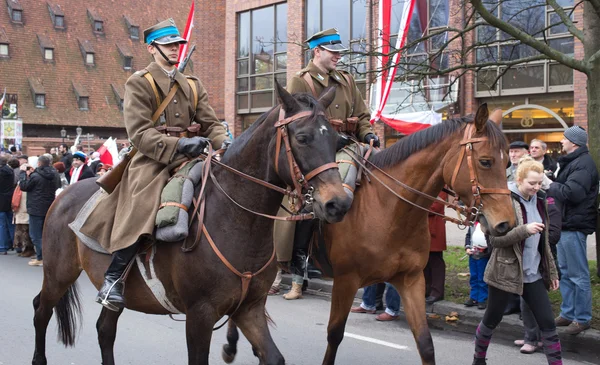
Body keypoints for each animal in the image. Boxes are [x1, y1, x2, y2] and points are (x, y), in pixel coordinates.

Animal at [31, 82, 352, 364]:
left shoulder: (249, 309)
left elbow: (273, 357)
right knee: (41, 310)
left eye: (337, 140)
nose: (339, 203)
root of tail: (63, 194)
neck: (237, 219)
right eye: (303, 138)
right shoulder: (200, 315)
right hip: (58, 274)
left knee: (104, 330)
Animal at [220, 104, 516, 362]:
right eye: (485, 161)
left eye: (508, 164)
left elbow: (425, 343)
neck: (389, 208)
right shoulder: (346, 281)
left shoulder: (411, 280)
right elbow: (334, 335)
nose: (506, 224)